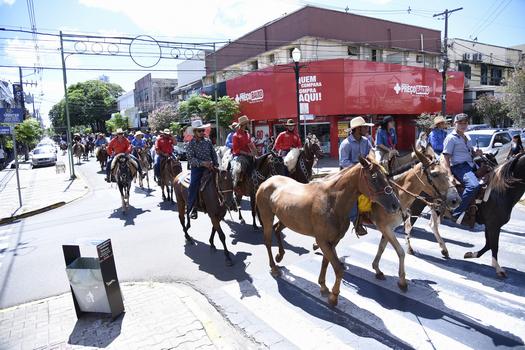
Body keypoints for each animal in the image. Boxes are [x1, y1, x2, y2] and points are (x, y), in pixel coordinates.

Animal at [256, 156, 400, 306]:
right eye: (374, 178)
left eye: (386, 175)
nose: (395, 205)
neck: (332, 202)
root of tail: (266, 182)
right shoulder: (323, 241)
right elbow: (338, 269)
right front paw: (334, 296)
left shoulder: (332, 241)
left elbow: (326, 263)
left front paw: (323, 286)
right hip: (267, 216)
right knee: (268, 241)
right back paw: (274, 267)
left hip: (287, 218)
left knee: (277, 229)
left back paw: (280, 255)